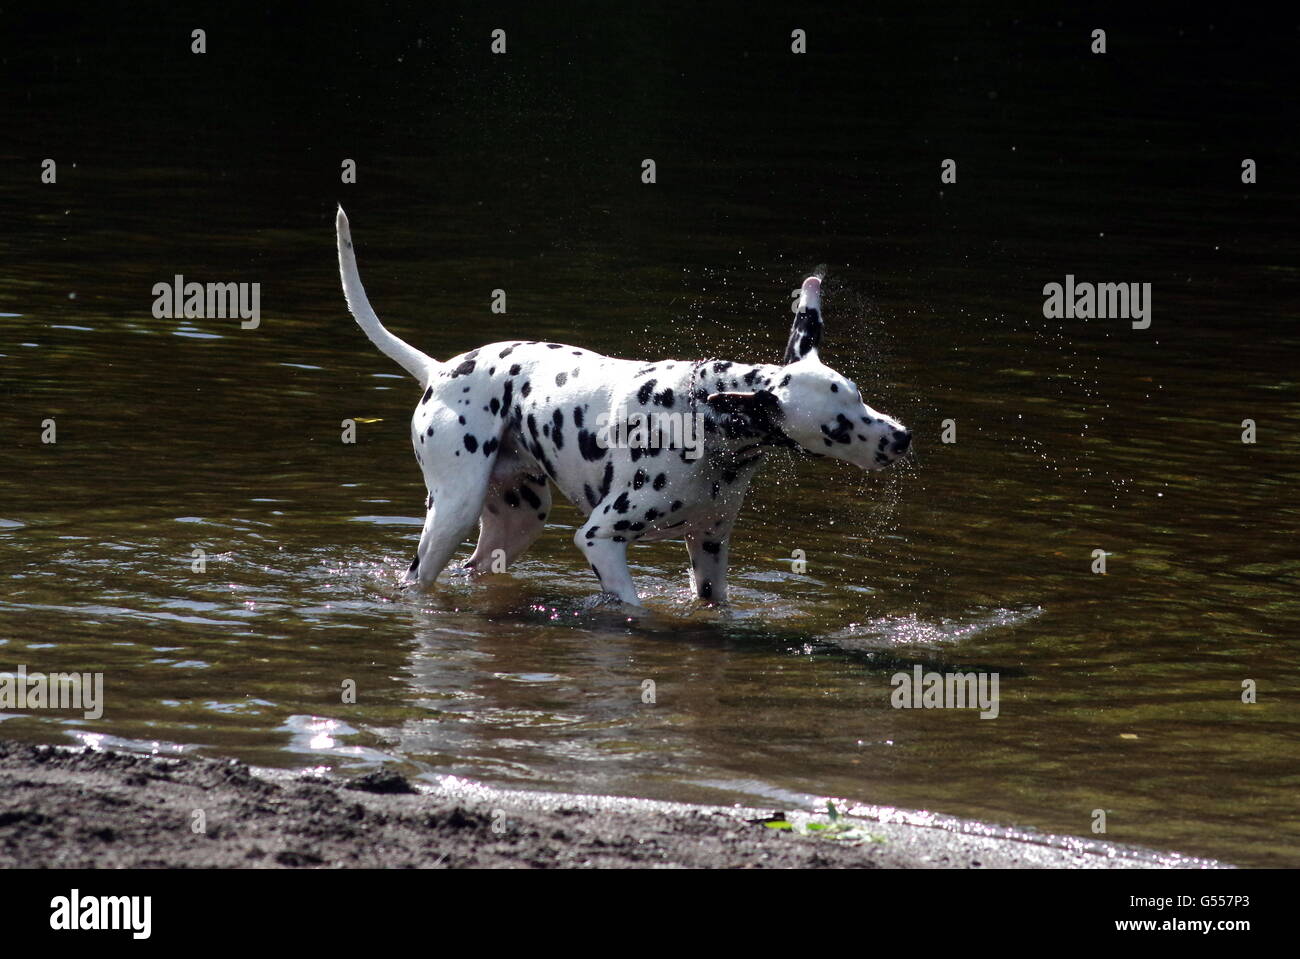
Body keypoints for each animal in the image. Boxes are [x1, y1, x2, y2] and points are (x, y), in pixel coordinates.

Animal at [332, 207, 915, 600]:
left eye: (861, 397)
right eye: (837, 427)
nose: (903, 438)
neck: (704, 421)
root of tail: (440, 370)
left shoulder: (710, 551)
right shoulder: (600, 540)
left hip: (518, 521)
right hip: (451, 515)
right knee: (419, 575)